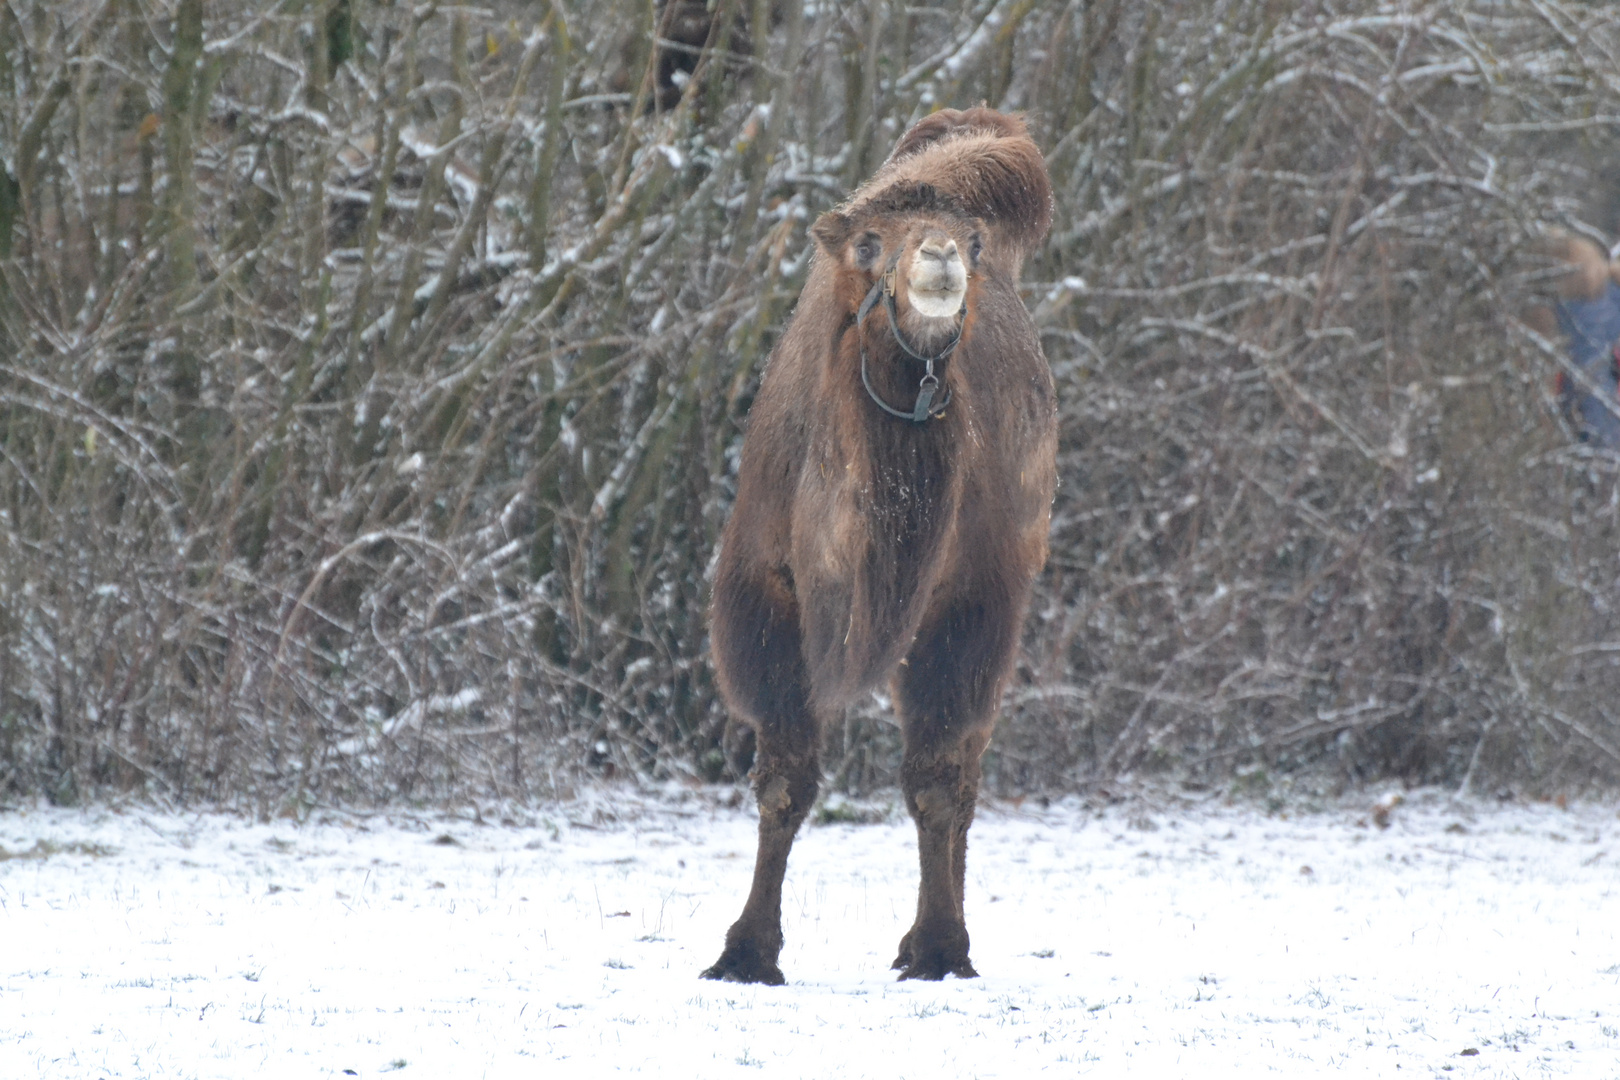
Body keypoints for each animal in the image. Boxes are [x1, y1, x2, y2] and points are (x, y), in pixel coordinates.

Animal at [699, 110, 1056, 990]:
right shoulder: (767, 595)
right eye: (869, 242)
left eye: (974, 240)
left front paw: (939, 948)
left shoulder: (969, 600)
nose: (941, 258)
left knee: (963, 766)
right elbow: (784, 780)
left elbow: (936, 779)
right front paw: (745, 952)